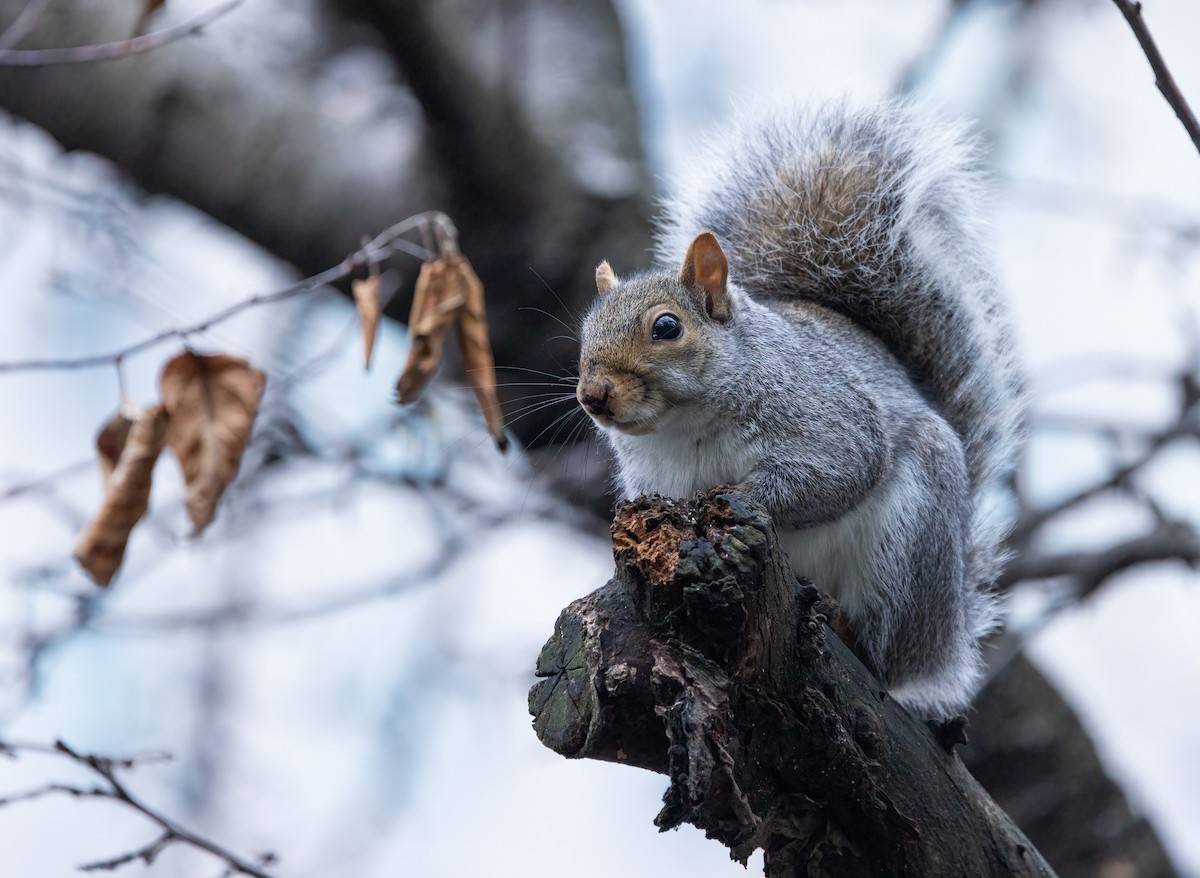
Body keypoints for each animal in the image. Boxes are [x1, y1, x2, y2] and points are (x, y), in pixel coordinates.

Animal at [574, 100, 1023, 719]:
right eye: (584, 332)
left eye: (666, 327)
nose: (592, 394)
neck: (682, 428)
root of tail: (948, 631)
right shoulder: (652, 479)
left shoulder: (825, 416)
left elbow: (837, 470)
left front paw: (739, 498)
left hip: (910, 544)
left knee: (886, 651)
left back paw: (853, 629)